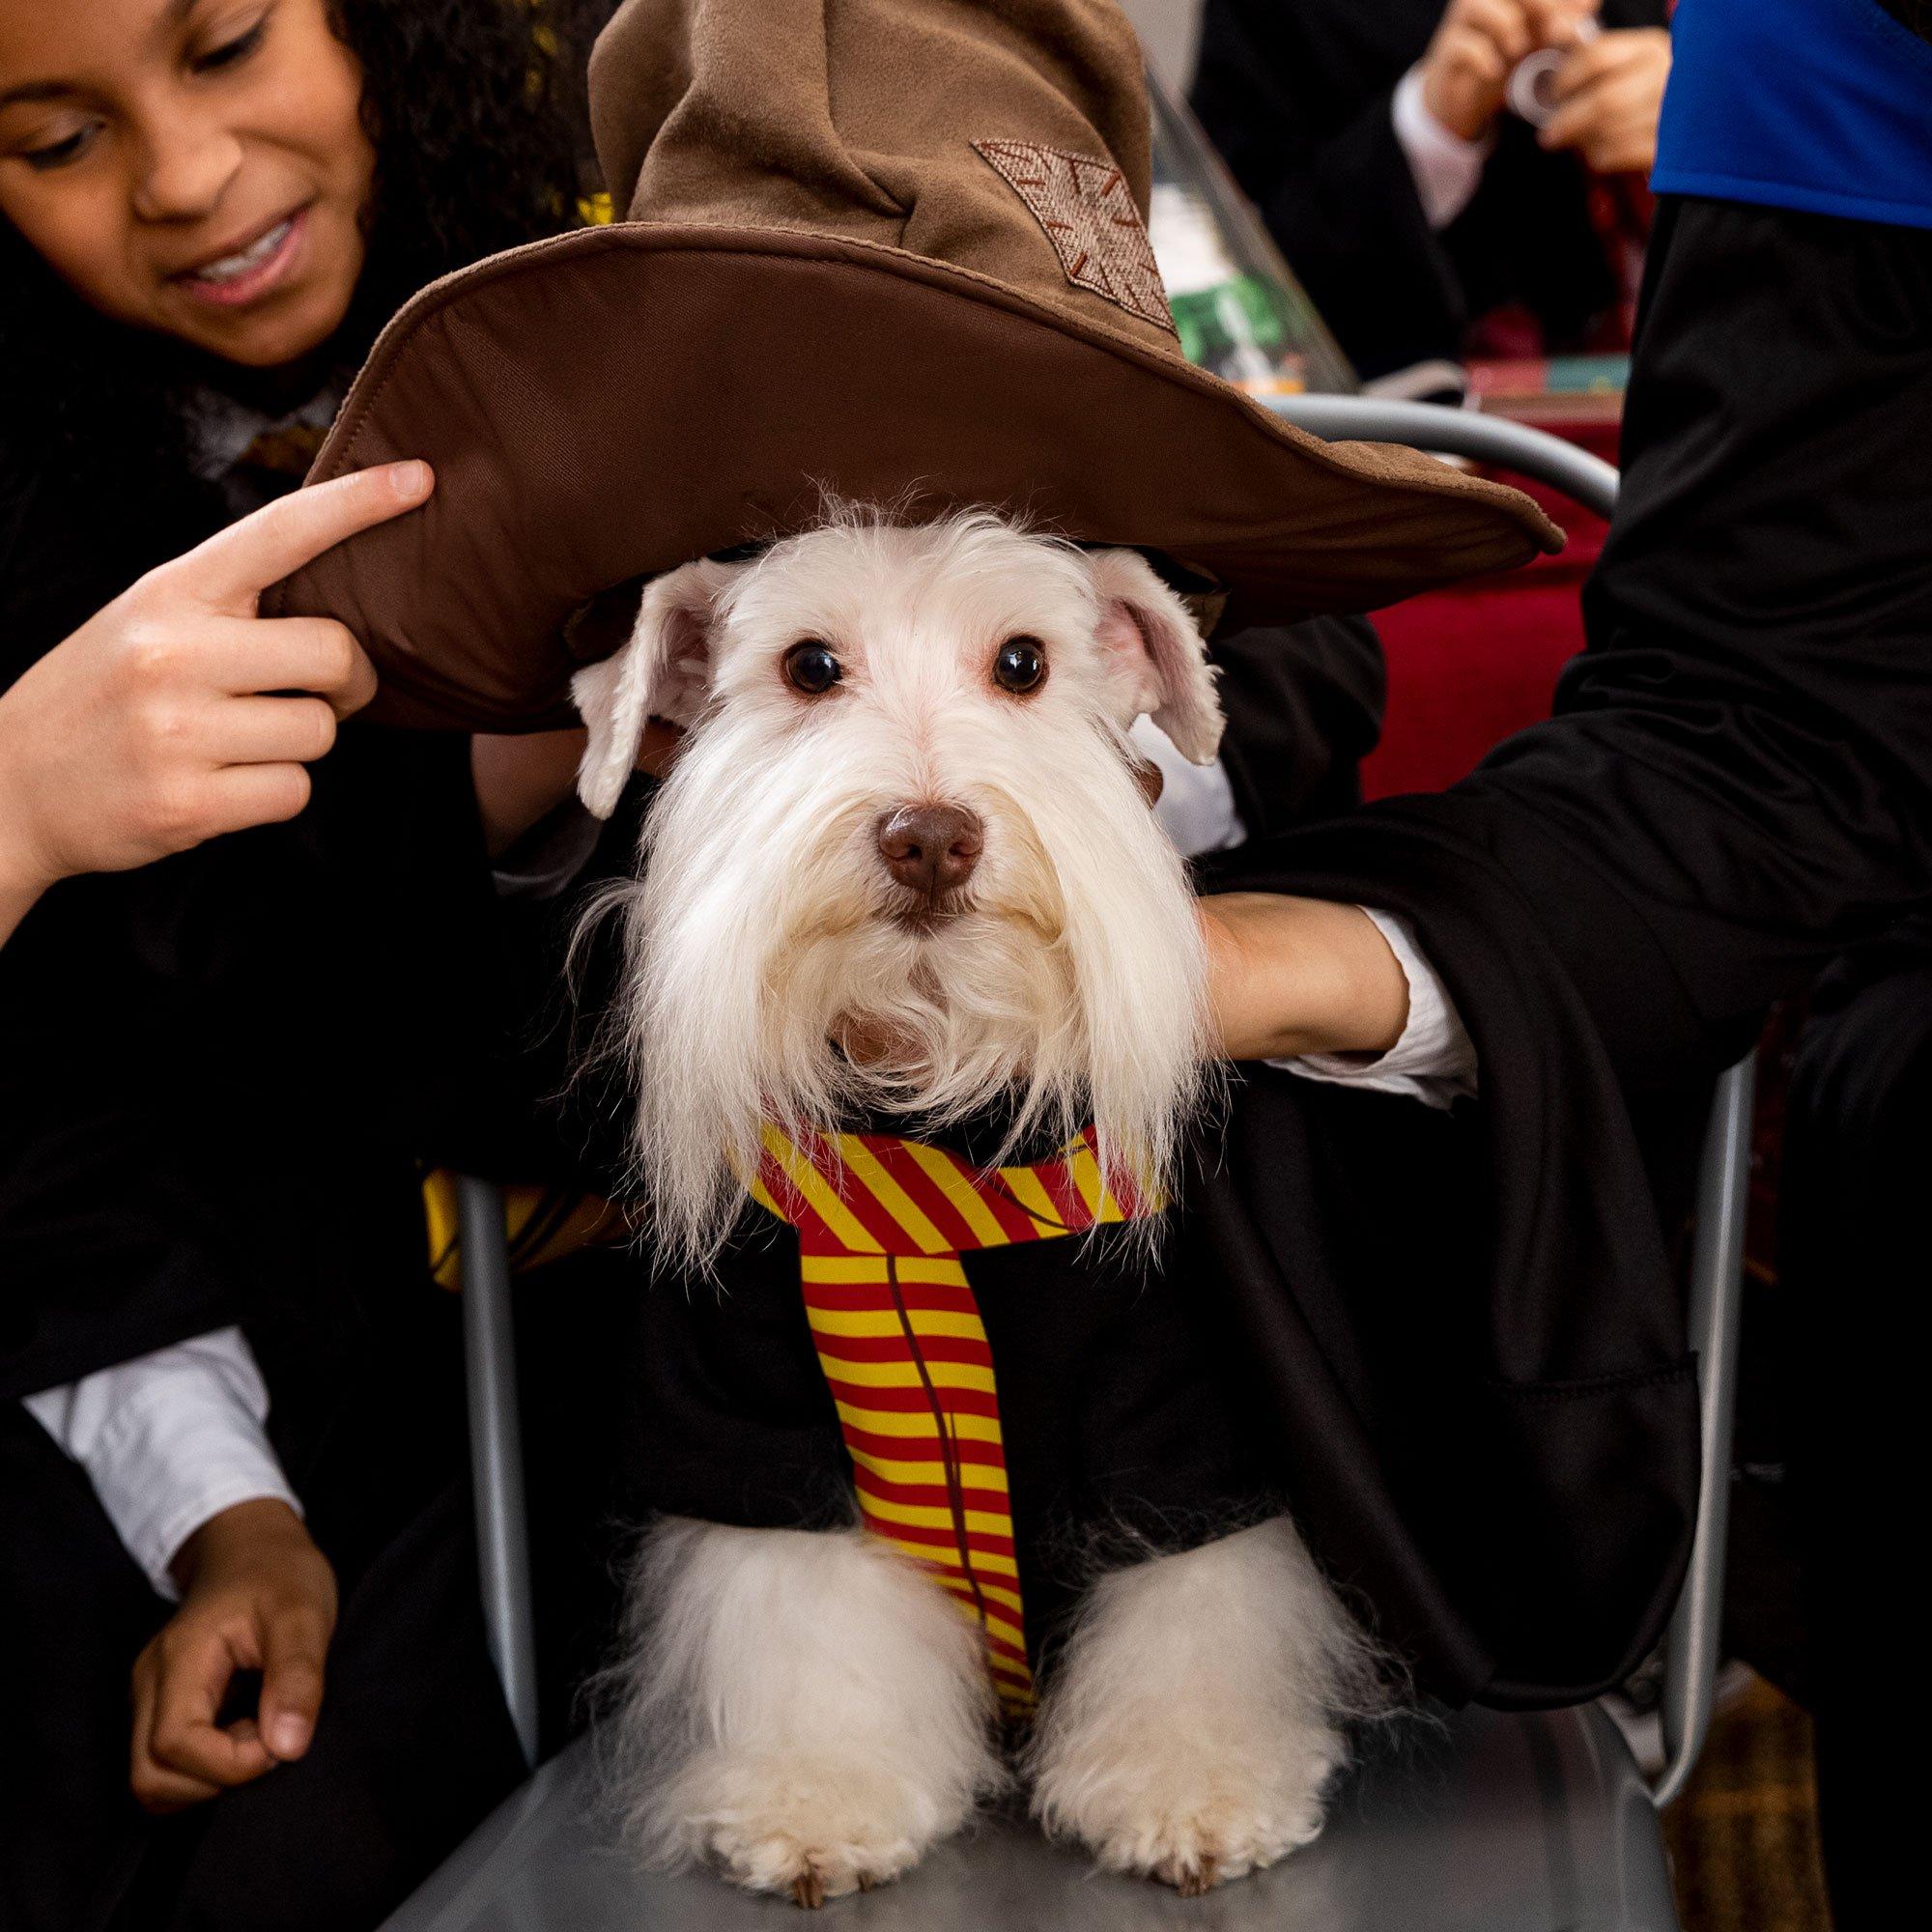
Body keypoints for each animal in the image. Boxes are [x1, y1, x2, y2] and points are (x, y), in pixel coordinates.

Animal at [564, 506, 1383, 1909]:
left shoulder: (1182, 1424)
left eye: (1021, 663)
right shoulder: (749, 1418)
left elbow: (1194, 1611)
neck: (933, 1129)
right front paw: (815, 1796)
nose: (930, 835)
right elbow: (808, 1618)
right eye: (808, 667)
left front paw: (1194, 1787)